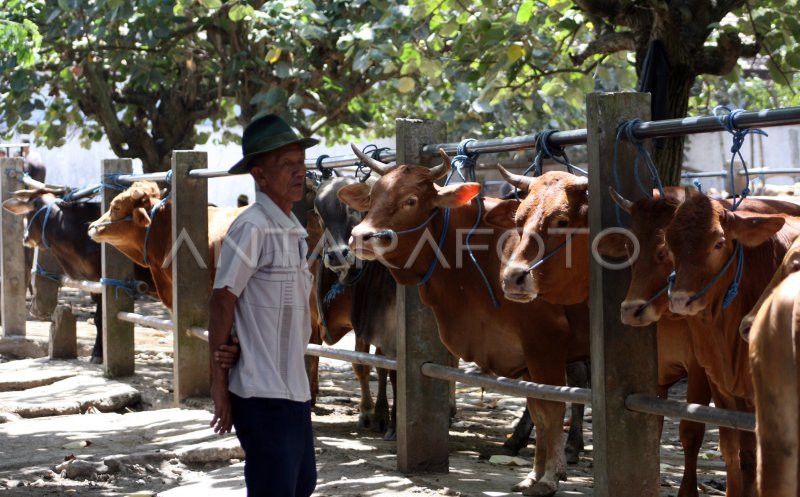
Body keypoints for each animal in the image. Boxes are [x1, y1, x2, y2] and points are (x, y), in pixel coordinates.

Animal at [338, 145, 588, 494]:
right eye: (373, 196)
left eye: (411, 200)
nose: (360, 237)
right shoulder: (526, 353)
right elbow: (538, 407)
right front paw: (535, 473)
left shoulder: (545, 341)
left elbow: (550, 406)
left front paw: (549, 476)